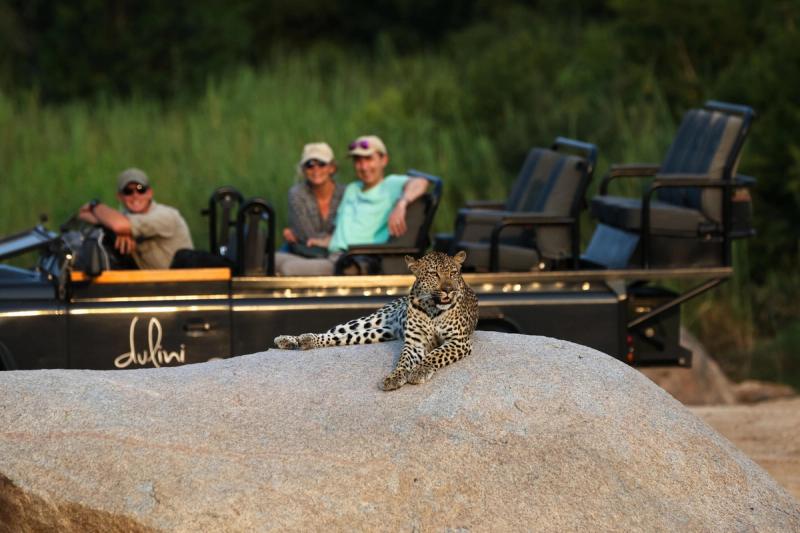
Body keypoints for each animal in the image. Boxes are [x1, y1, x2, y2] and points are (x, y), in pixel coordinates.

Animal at [274, 250, 478, 391]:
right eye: (434, 274)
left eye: (453, 273)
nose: (449, 290)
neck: (432, 308)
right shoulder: (414, 343)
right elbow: (403, 361)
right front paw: (394, 377)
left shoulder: (459, 341)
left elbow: (435, 354)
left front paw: (419, 370)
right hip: (370, 321)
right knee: (333, 332)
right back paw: (291, 339)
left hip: (379, 333)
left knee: (343, 337)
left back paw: (302, 341)